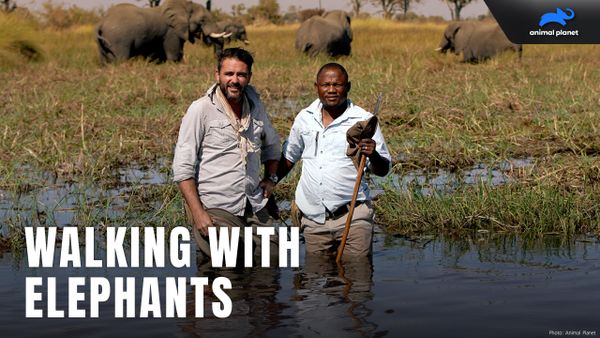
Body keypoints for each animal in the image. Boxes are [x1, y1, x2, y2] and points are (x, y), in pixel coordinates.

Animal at [95, 0, 226, 63]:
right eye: (203, 20)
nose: (217, 58)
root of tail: (102, 21)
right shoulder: (171, 31)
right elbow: (173, 51)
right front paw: (174, 64)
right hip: (118, 39)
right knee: (121, 58)